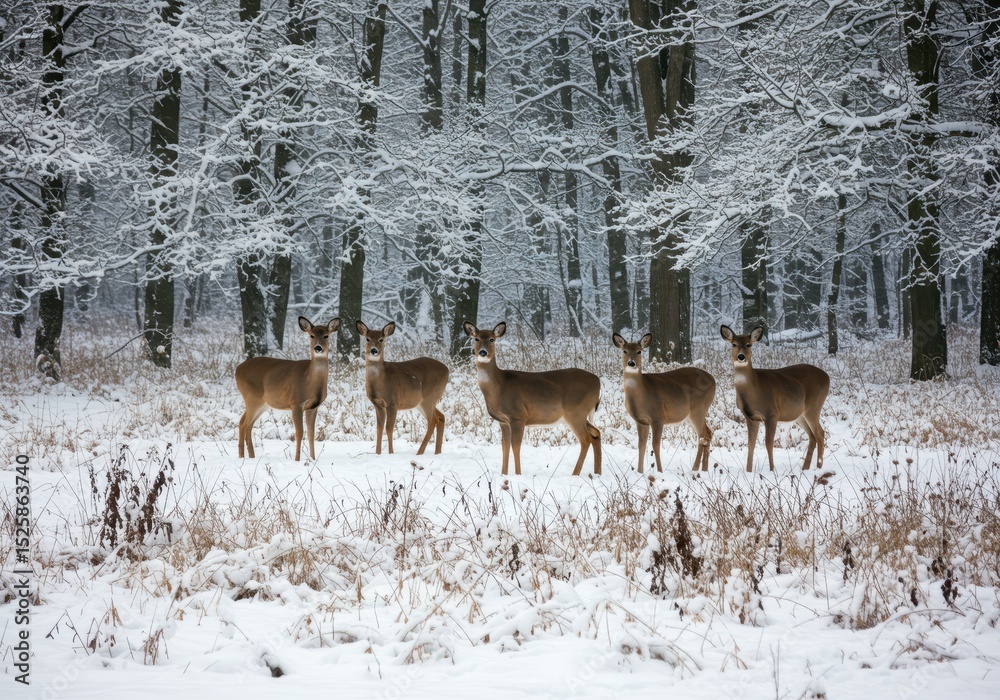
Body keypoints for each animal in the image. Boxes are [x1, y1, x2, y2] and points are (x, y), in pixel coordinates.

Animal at [236, 316, 341, 462]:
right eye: (311, 335)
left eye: (326, 335)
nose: (318, 348)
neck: (310, 381)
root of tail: (237, 369)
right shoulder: (296, 402)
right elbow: (299, 433)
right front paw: (297, 460)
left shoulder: (313, 407)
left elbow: (311, 434)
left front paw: (313, 459)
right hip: (252, 397)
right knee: (243, 424)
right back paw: (242, 457)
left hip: (263, 404)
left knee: (246, 424)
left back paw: (251, 457)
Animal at [356, 321, 449, 455]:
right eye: (367, 339)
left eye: (381, 339)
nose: (374, 350)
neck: (381, 381)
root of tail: (447, 370)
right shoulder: (378, 404)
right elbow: (379, 428)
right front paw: (378, 453)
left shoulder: (392, 403)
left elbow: (389, 428)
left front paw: (391, 453)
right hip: (422, 403)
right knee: (441, 417)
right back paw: (437, 452)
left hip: (429, 397)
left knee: (433, 421)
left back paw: (420, 452)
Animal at [463, 321, 602, 476]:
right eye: (476, 339)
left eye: (492, 339)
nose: (482, 352)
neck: (498, 387)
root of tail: (598, 381)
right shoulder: (503, 421)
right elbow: (504, 447)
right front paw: (504, 474)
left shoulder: (518, 416)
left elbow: (515, 446)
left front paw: (518, 474)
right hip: (578, 414)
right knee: (596, 433)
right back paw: (597, 472)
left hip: (575, 412)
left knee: (586, 439)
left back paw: (575, 474)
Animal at [612, 333, 716, 473]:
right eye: (624, 351)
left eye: (639, 351)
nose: (631, 363)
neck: (642, 395)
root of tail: (713, 380)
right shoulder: (641, 421)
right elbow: (641, 445)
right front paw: (640, 472)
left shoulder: (657, 417)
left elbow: (655, 445)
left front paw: (660, 471)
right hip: (698, 412)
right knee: (708, 433)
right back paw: (703, 469)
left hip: (698, 409)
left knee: (703, 436)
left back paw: (695, 468)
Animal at [720, 325, 830, 472]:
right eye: (734, 344)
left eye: (749, 344)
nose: (741, 356)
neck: (754, 390)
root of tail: (827, 376)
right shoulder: (750, 417)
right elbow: (751, 445)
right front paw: (748, 471)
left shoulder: (771, 413)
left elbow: (768, 444)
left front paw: (772, 470)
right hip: (799, 414)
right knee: (812, 436)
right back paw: (805, 468)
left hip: (814, 406)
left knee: (820, 434)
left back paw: (819, 468)